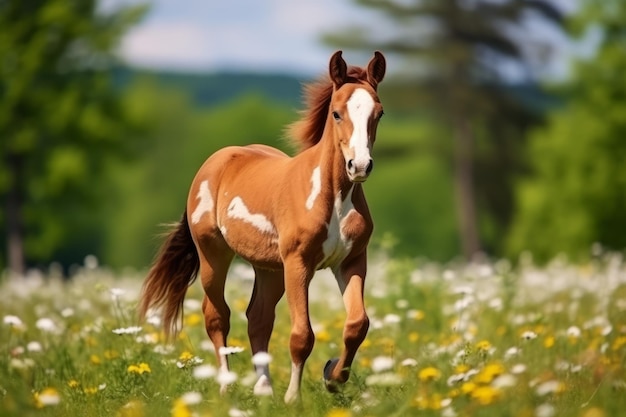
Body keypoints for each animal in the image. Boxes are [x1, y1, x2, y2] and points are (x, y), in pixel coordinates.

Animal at [140, 50, 386, 402]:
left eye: (379, 113)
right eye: (337, 113)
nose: (360, 166)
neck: (333, 197)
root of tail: (214, 162)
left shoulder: (351, 261)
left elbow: (357, 325)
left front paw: (332, 376)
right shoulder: (299, 264)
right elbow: (302, 335)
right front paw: (294, 398)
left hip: (270, 269)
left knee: (258, 318)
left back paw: (263, 389)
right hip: (213, 257)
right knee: (216, 316)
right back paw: (226, 388)